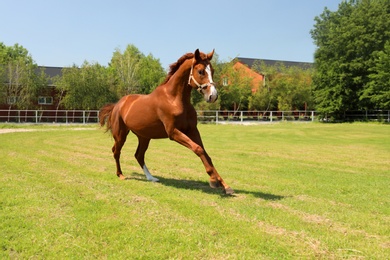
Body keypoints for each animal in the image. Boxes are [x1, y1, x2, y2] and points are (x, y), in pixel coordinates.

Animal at [100, 49, 233, 195]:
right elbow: (198, 149)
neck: (174, 99)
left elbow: (205, 153)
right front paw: (214, 181)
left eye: (212, 70)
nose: (213, 96)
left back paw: (151, 178)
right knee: (116, 151)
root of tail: (118, 104)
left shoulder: (192, 130)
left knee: (139, 155)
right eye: (201, 71)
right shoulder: (173, 132)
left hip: (144, 137)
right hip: (121, 135)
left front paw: (225, 186)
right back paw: (120, 175)